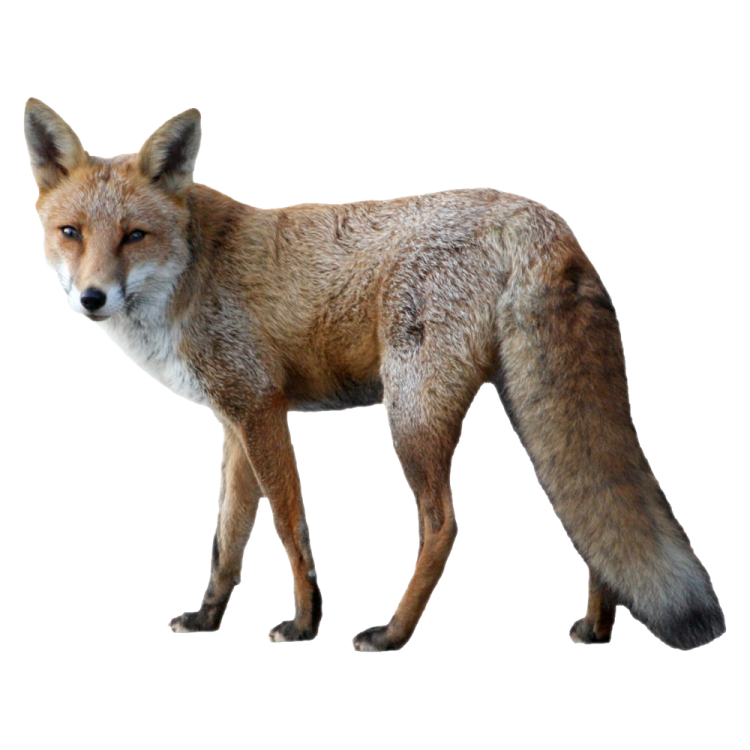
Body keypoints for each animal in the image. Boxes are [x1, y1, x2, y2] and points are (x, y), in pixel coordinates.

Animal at [24, 97, 726, 651]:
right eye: (71, 232)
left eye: (134, 236)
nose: (92, 298)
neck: (193, 275)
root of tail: (539, 216)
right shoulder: (236, 419)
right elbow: (227, 540)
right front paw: (207, 619)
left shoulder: (261, 409)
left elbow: (290, 528)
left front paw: (304, 625)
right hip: (528, 407)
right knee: (585, 512)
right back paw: (596, 628)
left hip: (411, 415)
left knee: (443, 527)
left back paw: (392, 634)